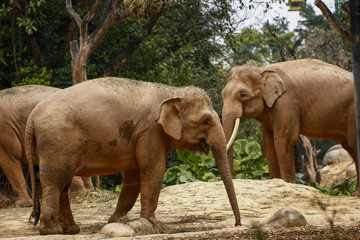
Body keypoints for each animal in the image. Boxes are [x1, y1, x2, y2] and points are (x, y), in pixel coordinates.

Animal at [24, 77, 239, 234]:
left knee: (63, 184)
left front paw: (115, 221)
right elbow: (153, 169)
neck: (172, 92)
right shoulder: (150, 130)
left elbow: (134, 175)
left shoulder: (142, 134)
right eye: (205, 122)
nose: (238, 224)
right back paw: (52, 231)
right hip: (58, 143)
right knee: (54, 182)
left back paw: (71, 230)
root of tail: (31, 119)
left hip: (61, 147)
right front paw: (153, 222)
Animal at [222, 59, 360, 196]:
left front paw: (288, 185)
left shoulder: (286, 102)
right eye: (222, 94)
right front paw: (276, 182)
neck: (262, 70)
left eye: (242, 94)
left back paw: (356, 194)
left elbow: (284, 140)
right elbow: (268, 143)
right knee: (350, 148)